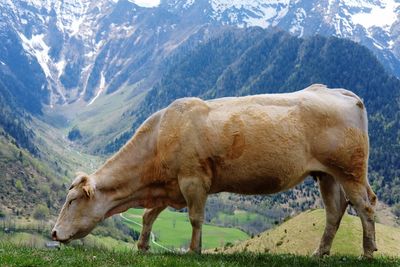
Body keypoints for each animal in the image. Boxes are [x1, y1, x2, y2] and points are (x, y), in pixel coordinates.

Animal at [51, 84, 376, 260]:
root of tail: (337, 91)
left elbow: (195, 218)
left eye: (71, 201)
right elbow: (148, 216)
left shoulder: (193, 180)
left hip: (350, 169)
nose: (53, 232)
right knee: (335, 210)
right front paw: (142, 246)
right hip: (327, 174)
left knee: (365, 205)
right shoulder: (168, 186)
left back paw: (367, 252)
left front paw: (193, 251)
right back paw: (320, 253)